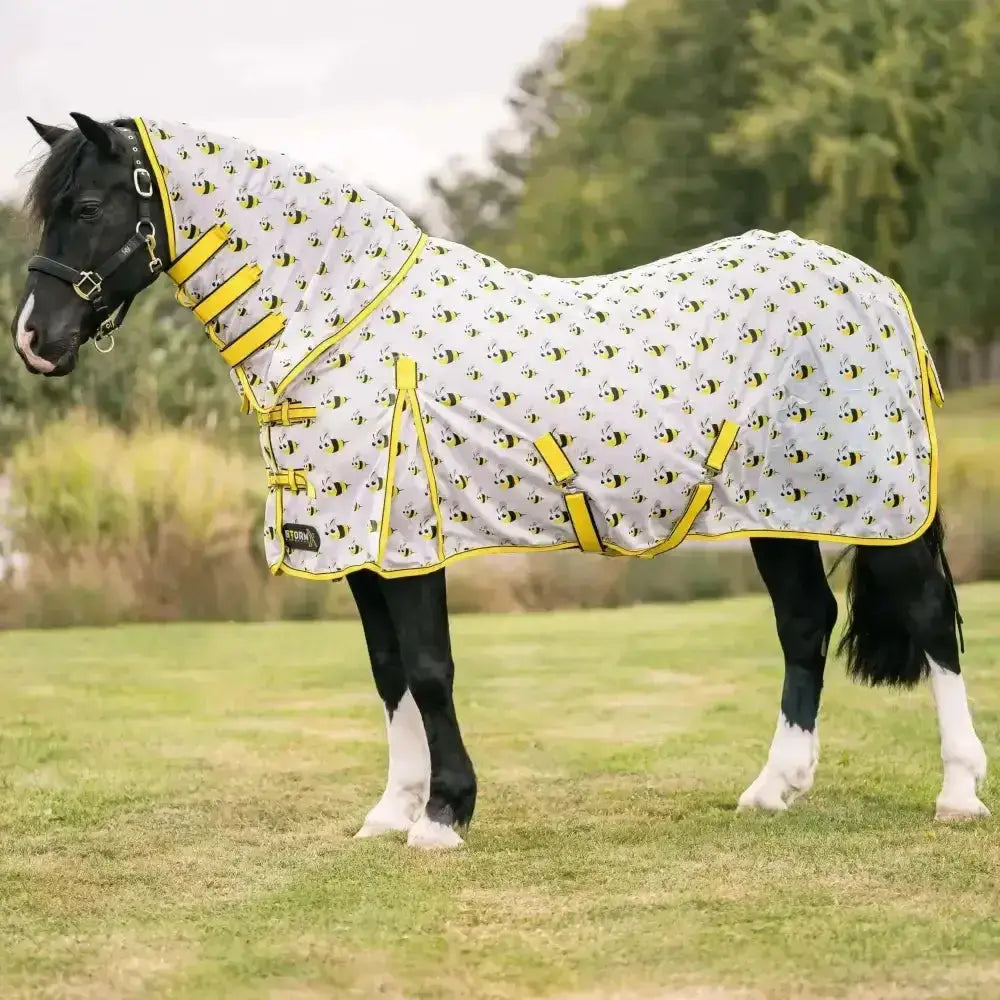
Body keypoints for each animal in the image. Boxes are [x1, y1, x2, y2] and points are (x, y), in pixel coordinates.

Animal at [9, 112, 989, 850]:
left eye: (88, 204)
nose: (35, 339)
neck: (346, 323)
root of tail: (875, 283)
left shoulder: (410, 540)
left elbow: (430, 669)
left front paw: (444, 817)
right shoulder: (361, 548)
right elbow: (388, 674)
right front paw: (392, 811)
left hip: (881, 504)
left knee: (931, 617)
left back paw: (958, 793)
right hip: (776, 512)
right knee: (805, 623)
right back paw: (773, 790)